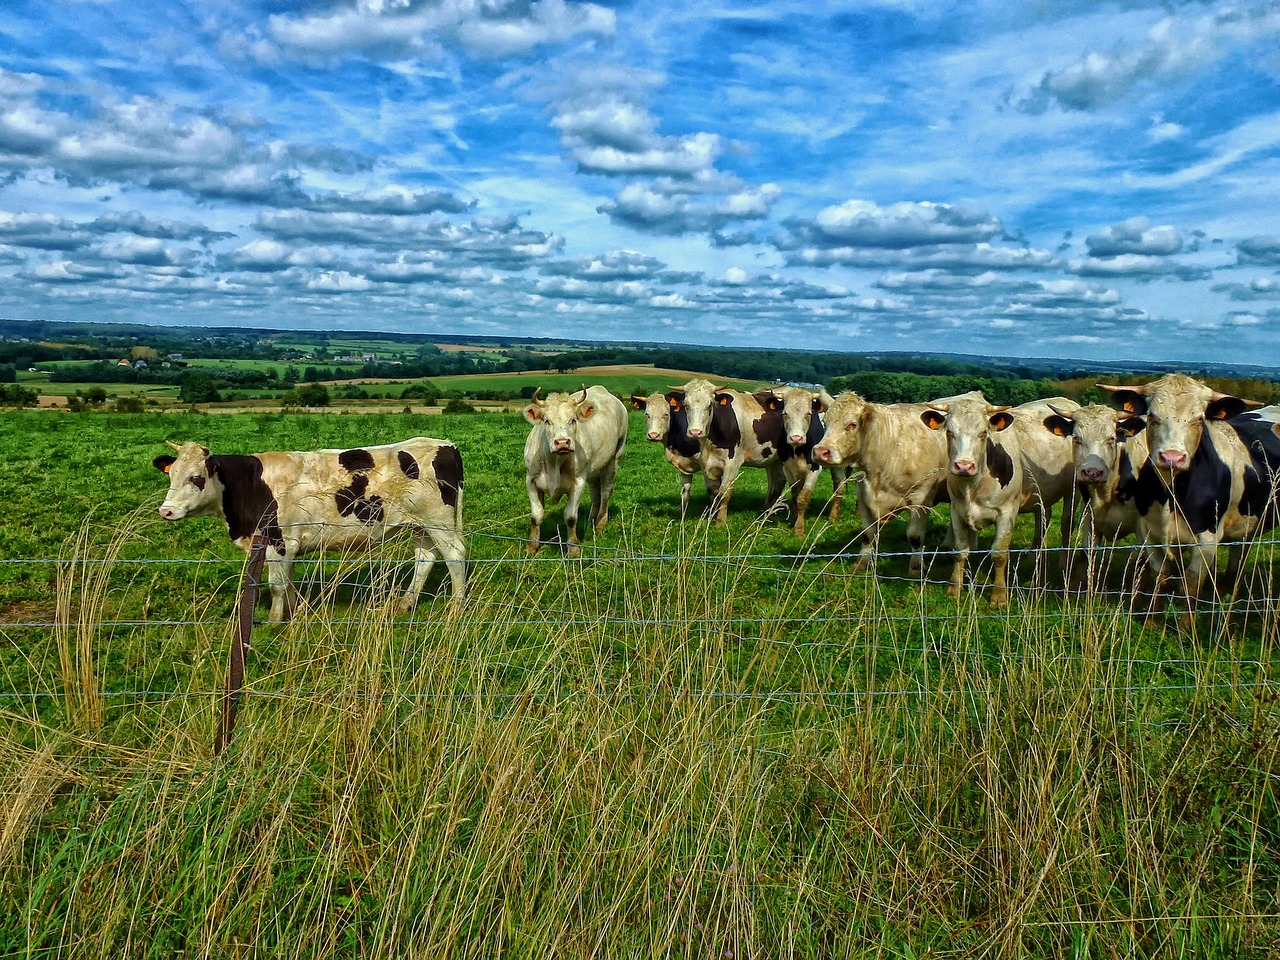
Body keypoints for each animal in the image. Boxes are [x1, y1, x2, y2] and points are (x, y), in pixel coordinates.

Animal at [152, 437, 468, 619]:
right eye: (172, 475)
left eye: (196, 477)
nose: (166, 511)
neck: (251, 484)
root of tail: (445, 445)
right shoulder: (285, 545)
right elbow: (289, 581)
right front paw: (295, 611)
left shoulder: (279, 541)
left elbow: (277, 585)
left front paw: (274, 621)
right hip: (419, 525)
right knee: (425, 559)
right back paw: (404, 604)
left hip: (439, 521)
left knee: (455, 556)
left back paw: (455, 608)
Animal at [522, 386, 627, 555]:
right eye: (547, 421)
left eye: (573, 420)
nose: (562, 442)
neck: (554, 462)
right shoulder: (530, 479)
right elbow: (536, 516)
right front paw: (531, 547)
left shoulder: (578, 481)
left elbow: (570, 517)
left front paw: (573, 548)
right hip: (593, 469)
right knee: (595, 492)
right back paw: (591, 519)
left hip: (614, 459)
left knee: (605, 491)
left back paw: (600, 524)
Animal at [629, 391, 711, 519]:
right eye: (647, 414)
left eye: (666, 414)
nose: (653, 435)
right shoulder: (685, 466)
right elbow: (685, 491)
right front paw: (682, 514)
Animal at [921, 399, 1080, 609]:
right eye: (949, 432)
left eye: (983, 433)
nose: (964, 466)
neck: (972, 487)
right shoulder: (956, 511)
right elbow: (960, 552)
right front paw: (954, 589)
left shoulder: (1007, 513)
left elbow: (999, 554)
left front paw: (998, 596)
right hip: (1041, 493)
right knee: (1042, 521)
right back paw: (1033, 557)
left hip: (1073, 491)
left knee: (1066, 525)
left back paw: (1064, 563)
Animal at [1095, 376, 1274, 616]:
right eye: (1152, 416)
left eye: (1199, 419)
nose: (1172, 457)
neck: (1170, 494)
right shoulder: (1151, 535)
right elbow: (1158, 578)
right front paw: (1152, 620)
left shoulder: (1207, 542)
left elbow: (1190, 586)